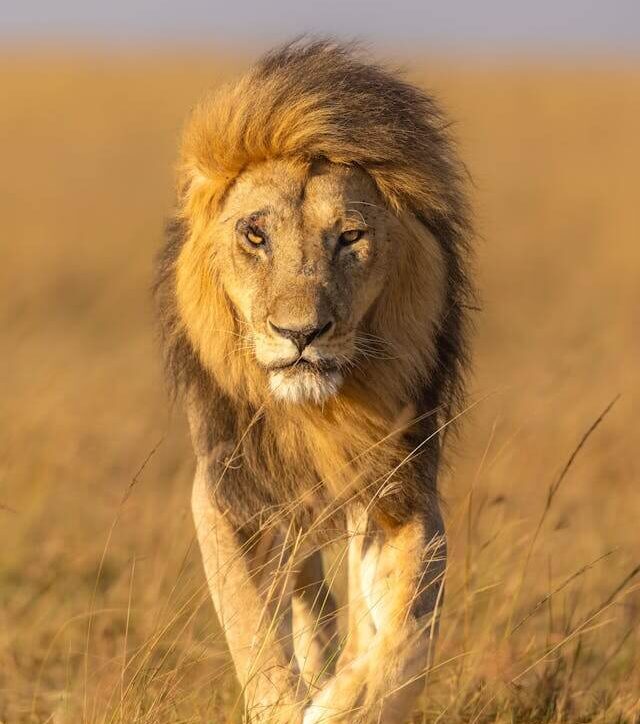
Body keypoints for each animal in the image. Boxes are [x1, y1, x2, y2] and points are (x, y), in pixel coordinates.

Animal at [154, 40, 472, 723]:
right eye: (255, 234)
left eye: (350, 236)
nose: (301, 333)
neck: (315, 414)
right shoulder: (228, 494)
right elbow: (252, 631)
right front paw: (287, 702)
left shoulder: (401, 492)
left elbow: (406, 633)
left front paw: (342, 704)